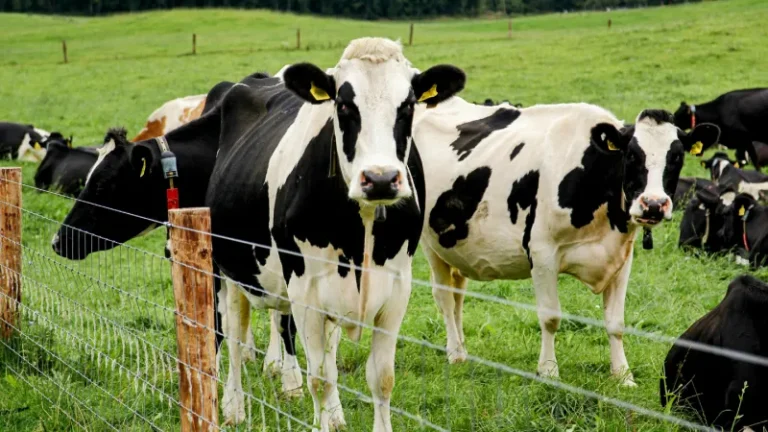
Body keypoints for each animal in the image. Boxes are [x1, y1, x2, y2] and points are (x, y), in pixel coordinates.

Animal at [198, 38, 464, 430]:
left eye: (409, 105)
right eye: (343, 104)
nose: (381, 178)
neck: (362, 229)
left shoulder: (397, 288)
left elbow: (381, 378)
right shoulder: (305, 291)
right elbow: (320, 378)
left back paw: (334, 415)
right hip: (226, 268)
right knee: (231, 334)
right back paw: (233, 408)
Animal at [411, 102, 720, 386]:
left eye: (677, 156)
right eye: (631, 155)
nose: (653, 204)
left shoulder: (622, 257)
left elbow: (616, 323)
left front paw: (623, 375)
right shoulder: (542, 253)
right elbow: (550, 317)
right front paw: (549, 371)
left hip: (455, 248)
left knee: (457, 295)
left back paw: (462, 349)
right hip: (430, 243)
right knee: (444, 298)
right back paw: (455, 353)